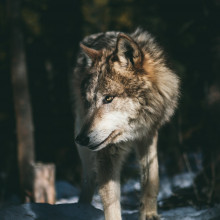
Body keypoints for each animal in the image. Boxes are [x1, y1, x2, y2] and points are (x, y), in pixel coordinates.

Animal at [73, 27, 180, 220]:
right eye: (88, 102)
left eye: (108, 98)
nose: (81, 139)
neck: (131, 131)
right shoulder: (107, 151)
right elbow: (111, 201)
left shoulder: (148, 135)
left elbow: (152, 179)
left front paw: (149, 214)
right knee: (88, 180)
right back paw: (81, 209)